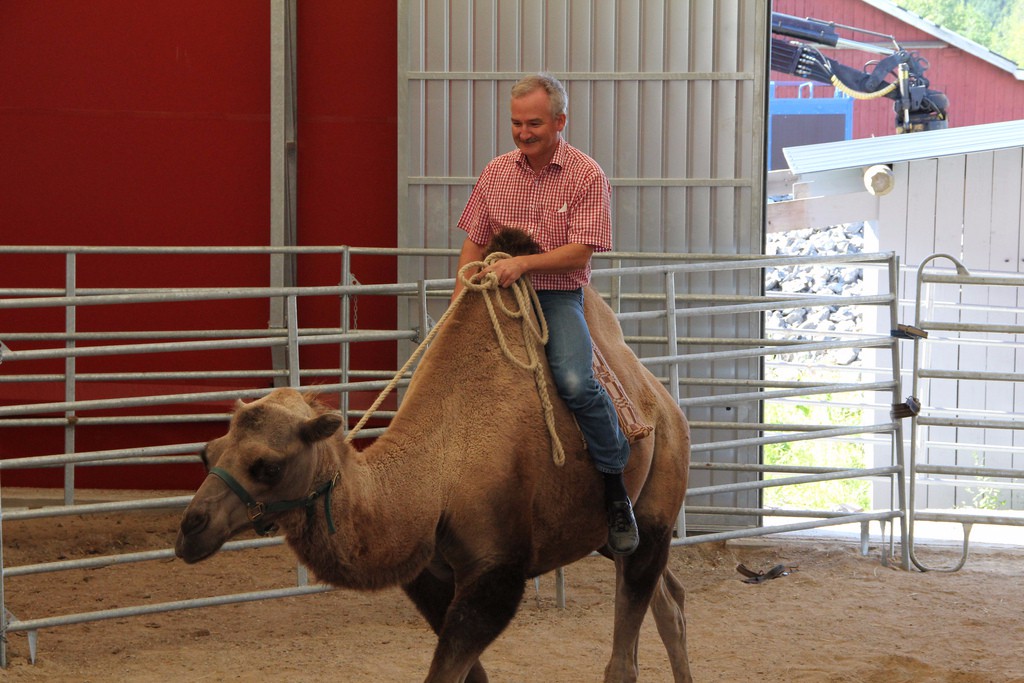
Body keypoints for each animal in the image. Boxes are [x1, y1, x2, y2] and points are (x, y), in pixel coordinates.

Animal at [176, 241, 692, 683]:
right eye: (207, 454)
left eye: (267, 465)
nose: (190, 529)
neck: (435, 479)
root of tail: (665, 404)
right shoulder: (427, 575)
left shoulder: (496, 574)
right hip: (601, 534)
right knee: (671, 601)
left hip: (652, 508)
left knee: (629, 641)